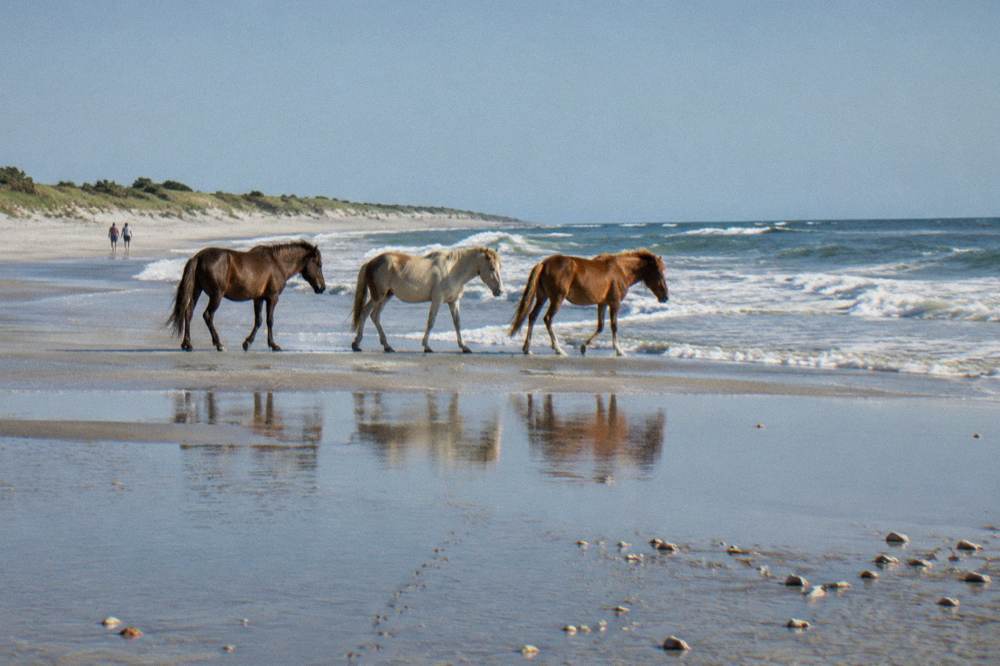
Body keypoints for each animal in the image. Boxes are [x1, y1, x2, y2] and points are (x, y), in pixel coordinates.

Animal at [167, 240, 325, 352]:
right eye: (318, 264)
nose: (322, 288)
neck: (277, 263)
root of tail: (198, 257)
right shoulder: (272, 297)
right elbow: (269, 321)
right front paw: (273, 345)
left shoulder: (258, 298)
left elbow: (258, 321)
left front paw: (247, 343)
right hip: (216, 295)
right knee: (207, 315)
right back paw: (219, 344)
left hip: (197, 290)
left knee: (188, 313)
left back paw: (187, 344)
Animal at [351, 246, 503, 353]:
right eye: (492, 268)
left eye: (499, 267)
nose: (500, 291)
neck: (452, 270)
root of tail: (370, 262)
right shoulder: (437, 300)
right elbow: (431, 322)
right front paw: (427, 346)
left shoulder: (454, 302)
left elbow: (457, 323)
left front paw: (464, 347)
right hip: (378, 296)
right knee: (366, 313)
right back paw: (358, 344)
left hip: (386, 296)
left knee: (373, 316)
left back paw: (385, 346)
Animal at [509, 248, 668, 357]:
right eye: (659, 273)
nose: (665, 297)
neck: (621, 270)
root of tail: (543, 263)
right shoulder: (614, 303)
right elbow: (614, 326)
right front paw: (619, 350)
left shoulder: (602, 303)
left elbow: (600, 326)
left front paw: (584, 347)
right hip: (557, 298)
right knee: (547, 319)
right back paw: (558, 349)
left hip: (542, 297)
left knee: (532, 316)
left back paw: (527, 348)